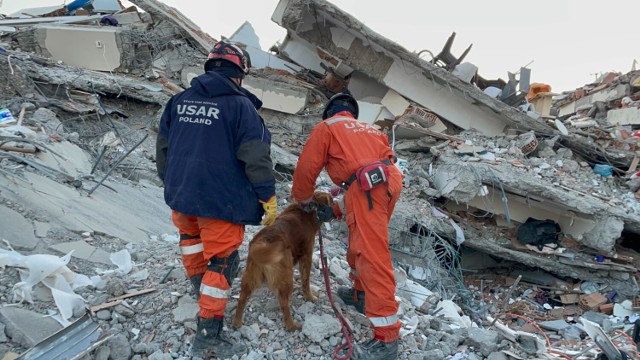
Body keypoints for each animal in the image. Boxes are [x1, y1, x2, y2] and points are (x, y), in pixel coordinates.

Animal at [231, 193, 332, 330]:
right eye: (332, 202)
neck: (308, 211)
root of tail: (261, 243)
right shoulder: (307, 257)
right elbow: (306, 282)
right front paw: (310, 297)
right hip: (286, 277)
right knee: (284, 303)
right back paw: (292, 325)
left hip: (250, 276)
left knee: (241, 298)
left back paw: (237, 322)